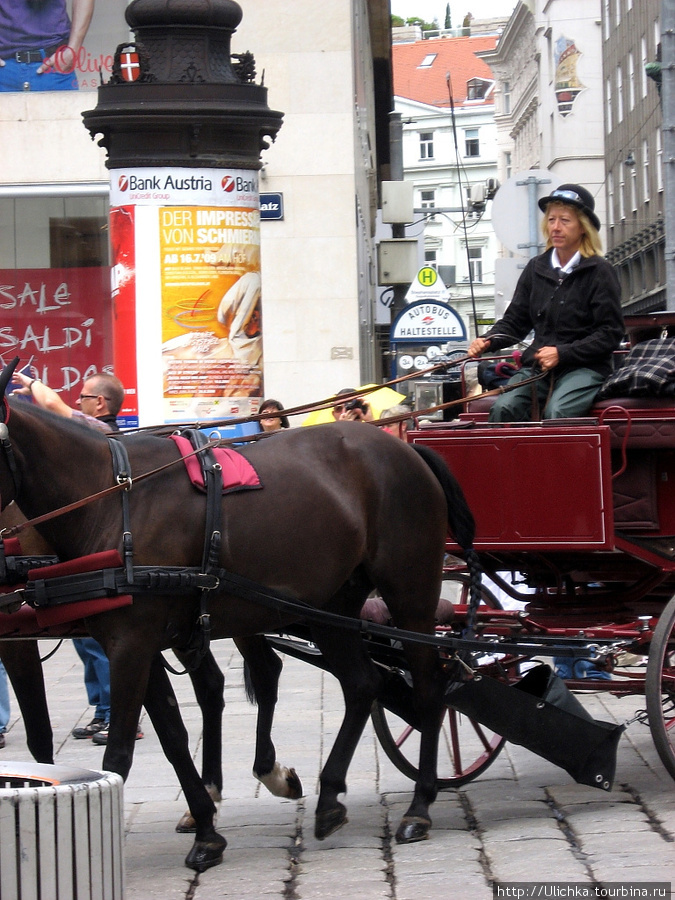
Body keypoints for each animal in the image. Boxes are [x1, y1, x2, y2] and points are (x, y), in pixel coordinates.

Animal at [0, 364, 478, 872]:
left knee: (429, 688)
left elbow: (117, 756)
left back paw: (419, 805)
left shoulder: (130, 644)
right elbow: (172, 736)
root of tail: (406, 448)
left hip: (410, 594)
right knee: (361, 684)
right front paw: (206, 830)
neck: (111, 501)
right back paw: (328, 797)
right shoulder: (132, 643)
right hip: (329, 606)